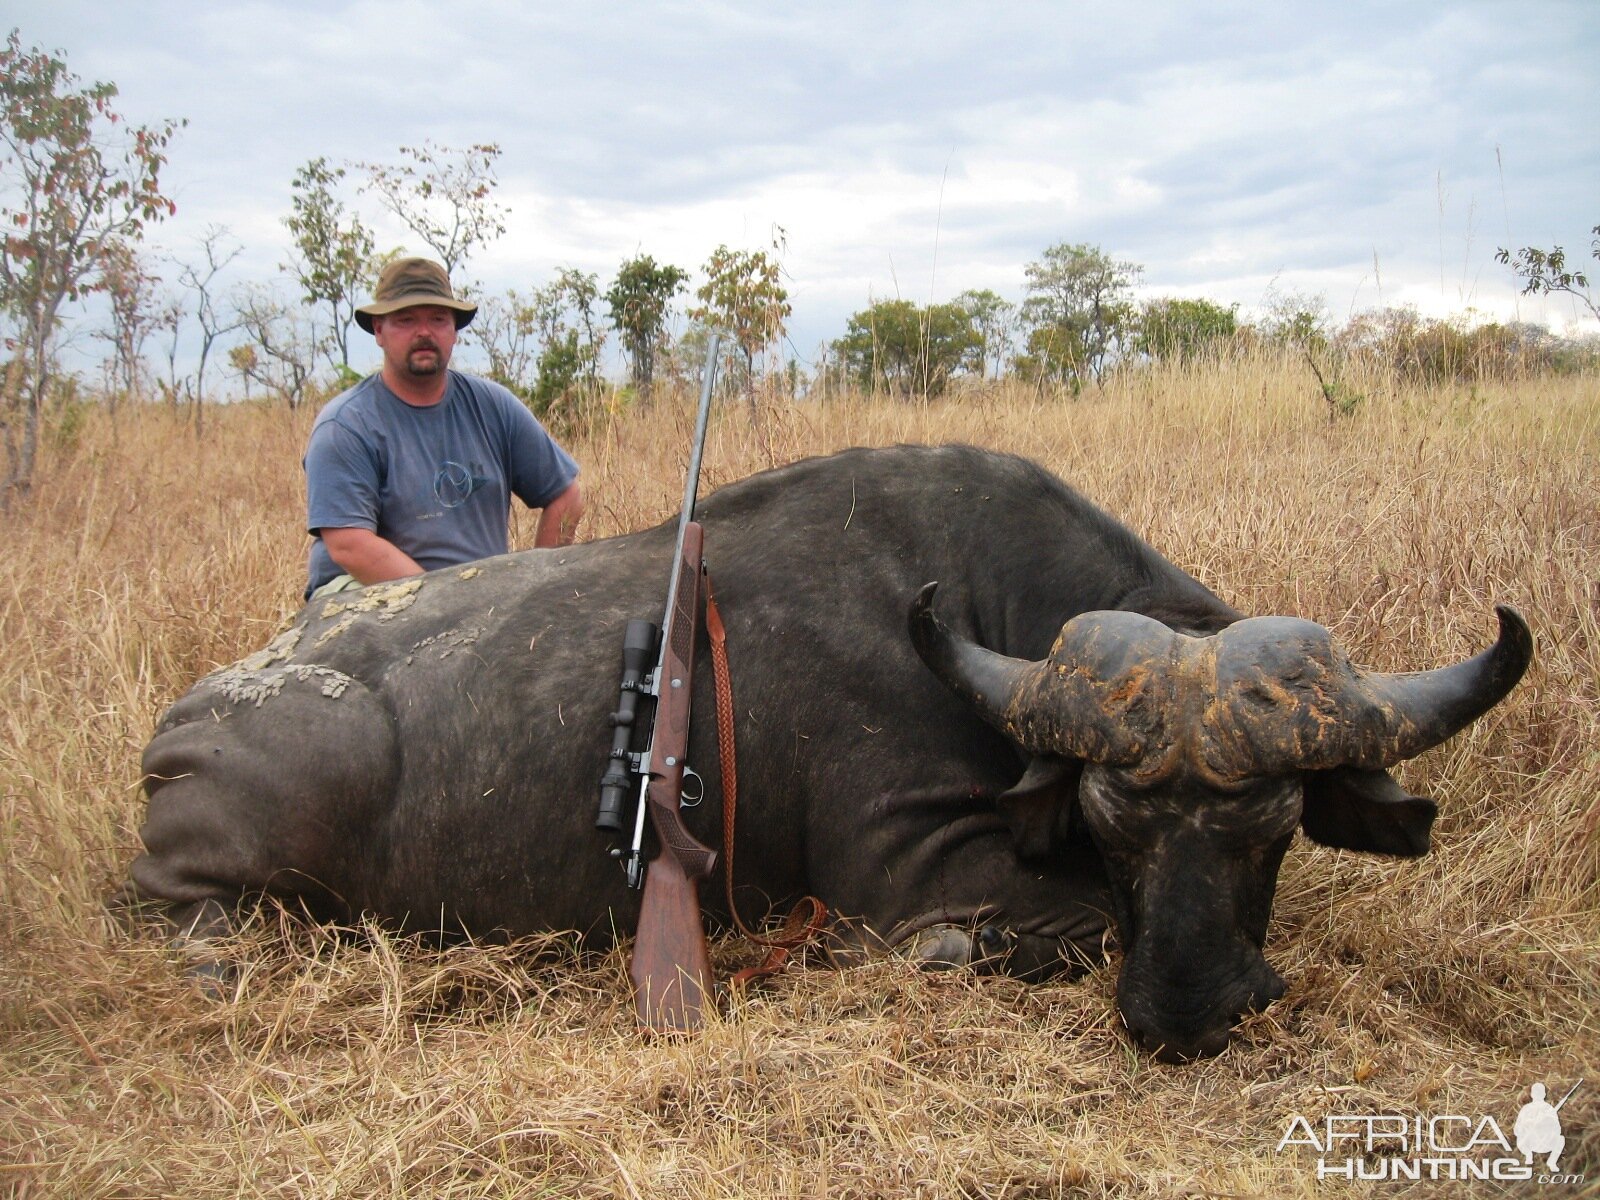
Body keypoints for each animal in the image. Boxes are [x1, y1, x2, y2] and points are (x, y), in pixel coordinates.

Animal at [124, 444, 1523, 1062]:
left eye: (1273, 824)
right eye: (1110, 818)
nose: (1182, 1015)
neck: (977, 617)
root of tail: (182, 725)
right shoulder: (915, 875)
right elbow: (993, 937)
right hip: (236, 867)